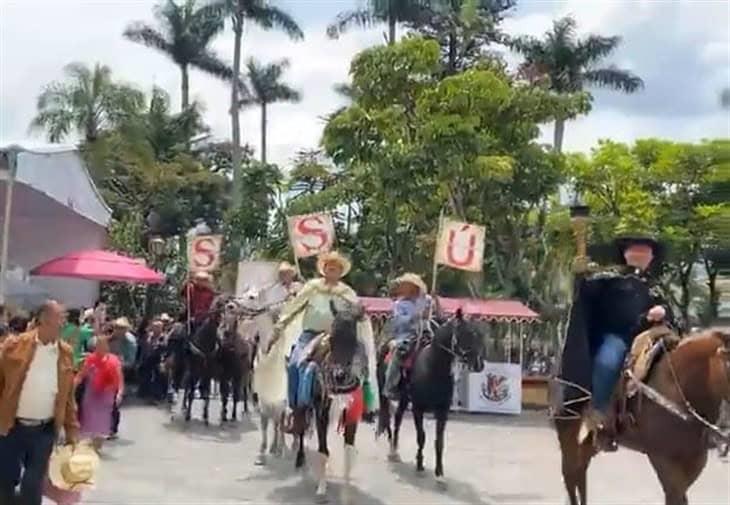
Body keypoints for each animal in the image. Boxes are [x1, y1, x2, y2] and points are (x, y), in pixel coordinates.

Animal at [376, 310, 484, 482]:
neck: (432, 368)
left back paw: (395, 450)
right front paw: (420, 464)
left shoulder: (442, 411)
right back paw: (392, 451)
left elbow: (439, 442)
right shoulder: (418, 408)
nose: (479, 364)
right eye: (466, 333)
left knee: (398, 418)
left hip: (404, 398)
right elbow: (421, 436)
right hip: (385, 393)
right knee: (387, 419)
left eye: (480, 335)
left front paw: (439, 472)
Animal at [556, 326, 728, 504]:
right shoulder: (662, 460)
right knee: (570, 475)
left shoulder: (695, 460)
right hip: (568, 431)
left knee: (579, 474)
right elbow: (674, 496)